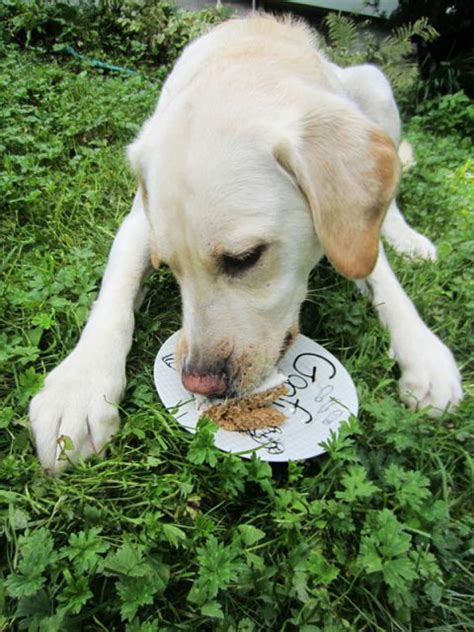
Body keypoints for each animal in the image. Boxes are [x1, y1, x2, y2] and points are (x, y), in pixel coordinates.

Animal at [30, 14, 462, 472]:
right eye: (169, 267)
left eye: (245, 258)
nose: (199, 382)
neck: (249, 59)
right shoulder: (138, 224)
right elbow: (115, 296)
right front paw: (78, 388)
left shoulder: (350, 226)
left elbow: (383, 279)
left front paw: (425, 354)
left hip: (374, 82)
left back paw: (407, 238)